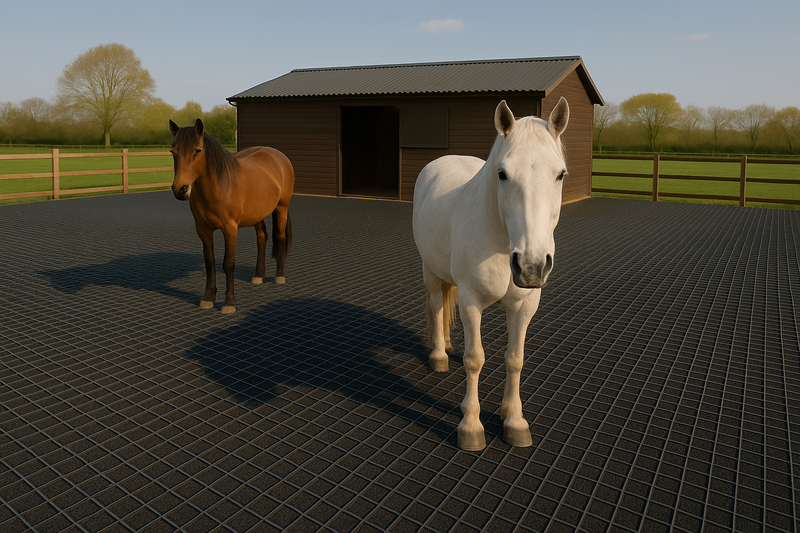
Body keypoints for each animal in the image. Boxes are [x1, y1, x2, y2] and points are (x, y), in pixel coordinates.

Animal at [169, 118, 294, 314]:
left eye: (197, 150)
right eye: (173, 151)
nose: (180, 189)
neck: (219, 185)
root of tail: (279, 156)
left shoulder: (230, 229)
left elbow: (228, 264)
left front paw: (229, 303)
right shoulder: (203, 230)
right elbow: (210, 262)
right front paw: (208, 298)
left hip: (282, 207)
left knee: (280, 237)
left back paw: (279, 276)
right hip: (257, 214)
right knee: (262, 237)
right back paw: (258, 275)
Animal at [412, 98, 570, 451]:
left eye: (560, 174)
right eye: (502, 174)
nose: (531, 265)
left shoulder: (525, 305)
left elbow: (515, 359)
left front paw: (514, 420)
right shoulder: (471, 301)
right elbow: (475, 359)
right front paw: (471, 426)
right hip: (430, 271)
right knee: (437, 305)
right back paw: (439, 355)